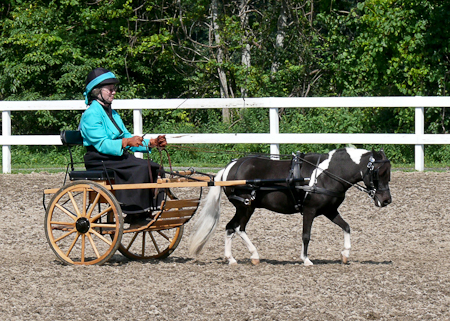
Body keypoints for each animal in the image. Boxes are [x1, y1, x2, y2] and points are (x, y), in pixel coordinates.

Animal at [188, 148, 392, 264]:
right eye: (378, 172)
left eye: (388, 172)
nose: (386, 200)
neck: (327, 173)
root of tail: (228, 168)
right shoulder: (309, 210)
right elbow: (306, 235)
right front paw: (306, 259)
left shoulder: (329, 210)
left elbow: (347, 227)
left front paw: (345, 254)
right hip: (245, 206)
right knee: (237, 228)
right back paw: (252, 255)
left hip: (246, 207)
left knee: (232, 228)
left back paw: (233, 258)